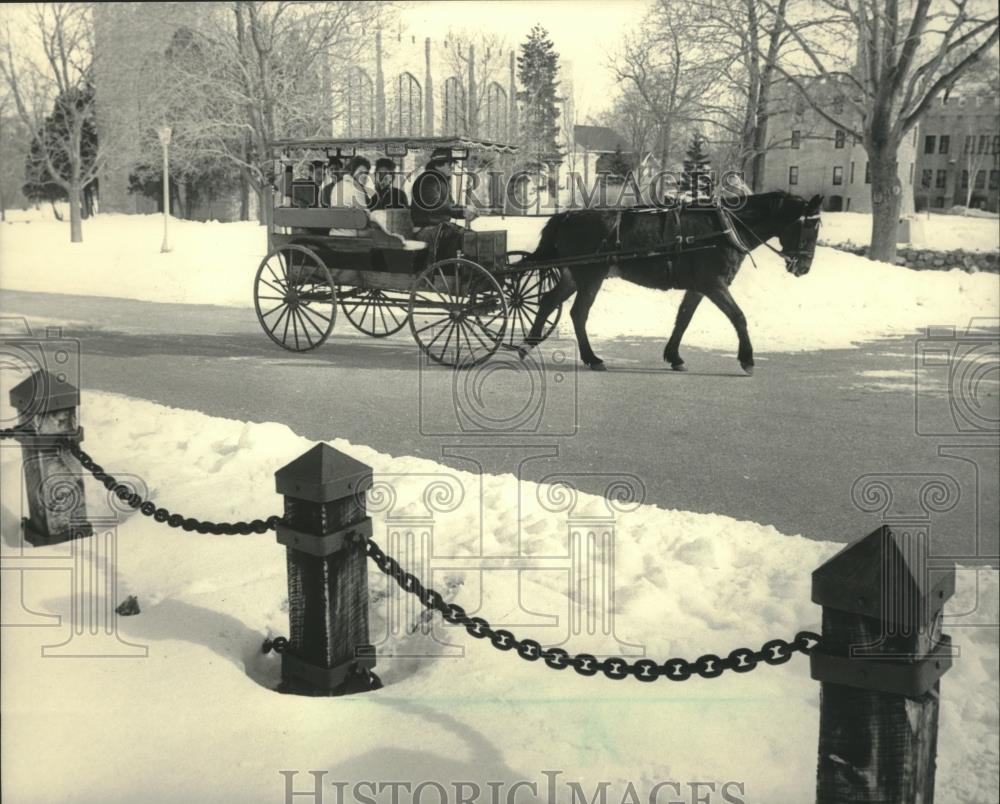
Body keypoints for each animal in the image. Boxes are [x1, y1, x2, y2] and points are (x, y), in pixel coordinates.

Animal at [520, 192, 824, 374]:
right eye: (810, 226)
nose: (804, 267)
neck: (725, 228)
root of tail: (567, 215)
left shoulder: (698, 287)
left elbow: (683, 319)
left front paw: (674, 356)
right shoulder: (714, 284)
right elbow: (738, 317)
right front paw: (747, 359)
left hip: (573, 275)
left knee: (547, 302)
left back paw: (527, 345)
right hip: (590, 277)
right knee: (578, 313)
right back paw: (592, 358)